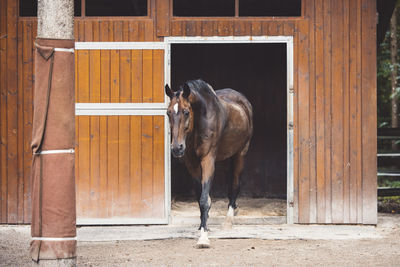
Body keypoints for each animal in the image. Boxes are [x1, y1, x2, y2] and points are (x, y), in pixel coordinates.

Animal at [165, 79, 253, 249]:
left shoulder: (208, 159)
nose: (177, 148)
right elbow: (200, 196)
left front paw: (203, 238)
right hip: (226, 156)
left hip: (241, 153)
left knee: (235, 184)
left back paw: (228, 220)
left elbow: (204, 200)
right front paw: (201, 226)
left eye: (186, 112)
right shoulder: (192, 163)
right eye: (168, 113)